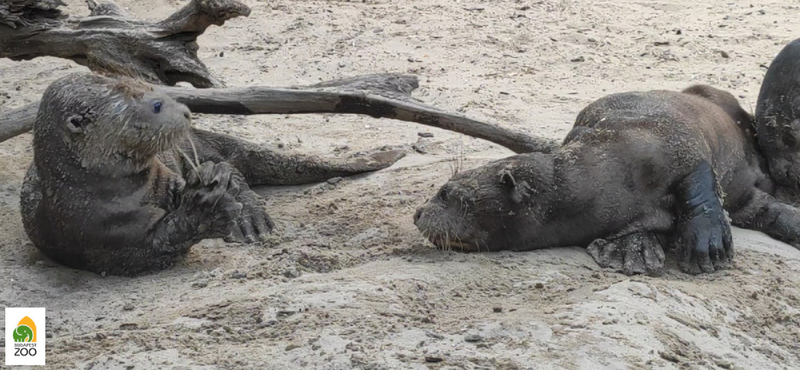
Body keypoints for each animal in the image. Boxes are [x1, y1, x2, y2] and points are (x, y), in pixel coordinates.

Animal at [21, 73, 404, 274]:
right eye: (156, 105)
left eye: (155, 92)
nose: (186, 111)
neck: (99, 192)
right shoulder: (105, 231)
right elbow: (162, 242)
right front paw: (203, 208)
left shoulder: (164, 175)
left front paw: (215, 189)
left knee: (236, 168)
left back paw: (250, 215)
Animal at [412, 84, 800, 274]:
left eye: (445, 192)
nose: (417, 213)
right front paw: (631, 249)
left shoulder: (677, 143)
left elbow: (700, 180)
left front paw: (706, 244)